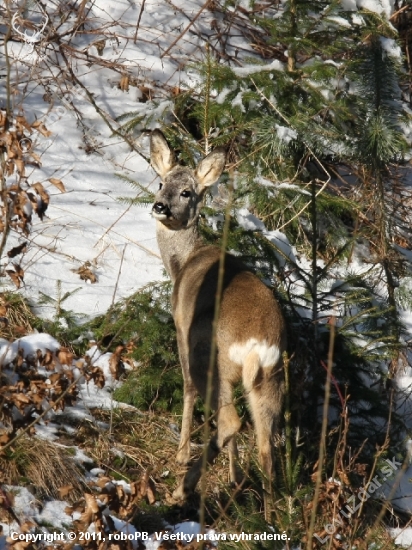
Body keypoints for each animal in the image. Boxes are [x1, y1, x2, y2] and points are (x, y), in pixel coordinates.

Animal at [150, 132, 286, 520]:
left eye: (187, 192)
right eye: (161, 183)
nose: (159, 206)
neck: (181, 263)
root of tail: (256, 343)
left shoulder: (181, 328)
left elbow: (186, 388)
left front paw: (181, 454)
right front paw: (232, 474)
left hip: (213, 360)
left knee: (230, 420)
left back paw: (182, 490)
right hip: (269, 379)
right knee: (265, 442)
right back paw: (265, 512)